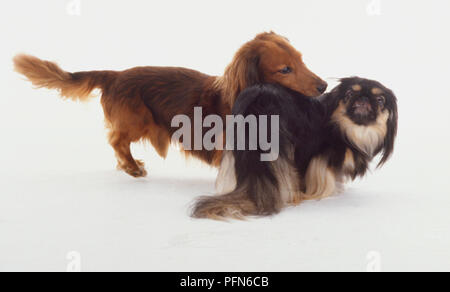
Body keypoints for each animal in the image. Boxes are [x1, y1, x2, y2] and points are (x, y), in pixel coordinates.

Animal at [13, 32, 324, 177]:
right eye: (285, 69)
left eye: (301, 59)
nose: (323, 86)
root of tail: (115, 75)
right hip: (137, 121)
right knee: (116, 140)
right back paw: (132, 167)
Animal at [192, 77, 400, 219]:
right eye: (349, 94)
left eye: (380, 100)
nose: (363, 98)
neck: (347, 128)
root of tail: (258, 100)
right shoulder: (320, 157)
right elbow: (324, 177)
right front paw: (330, 192)